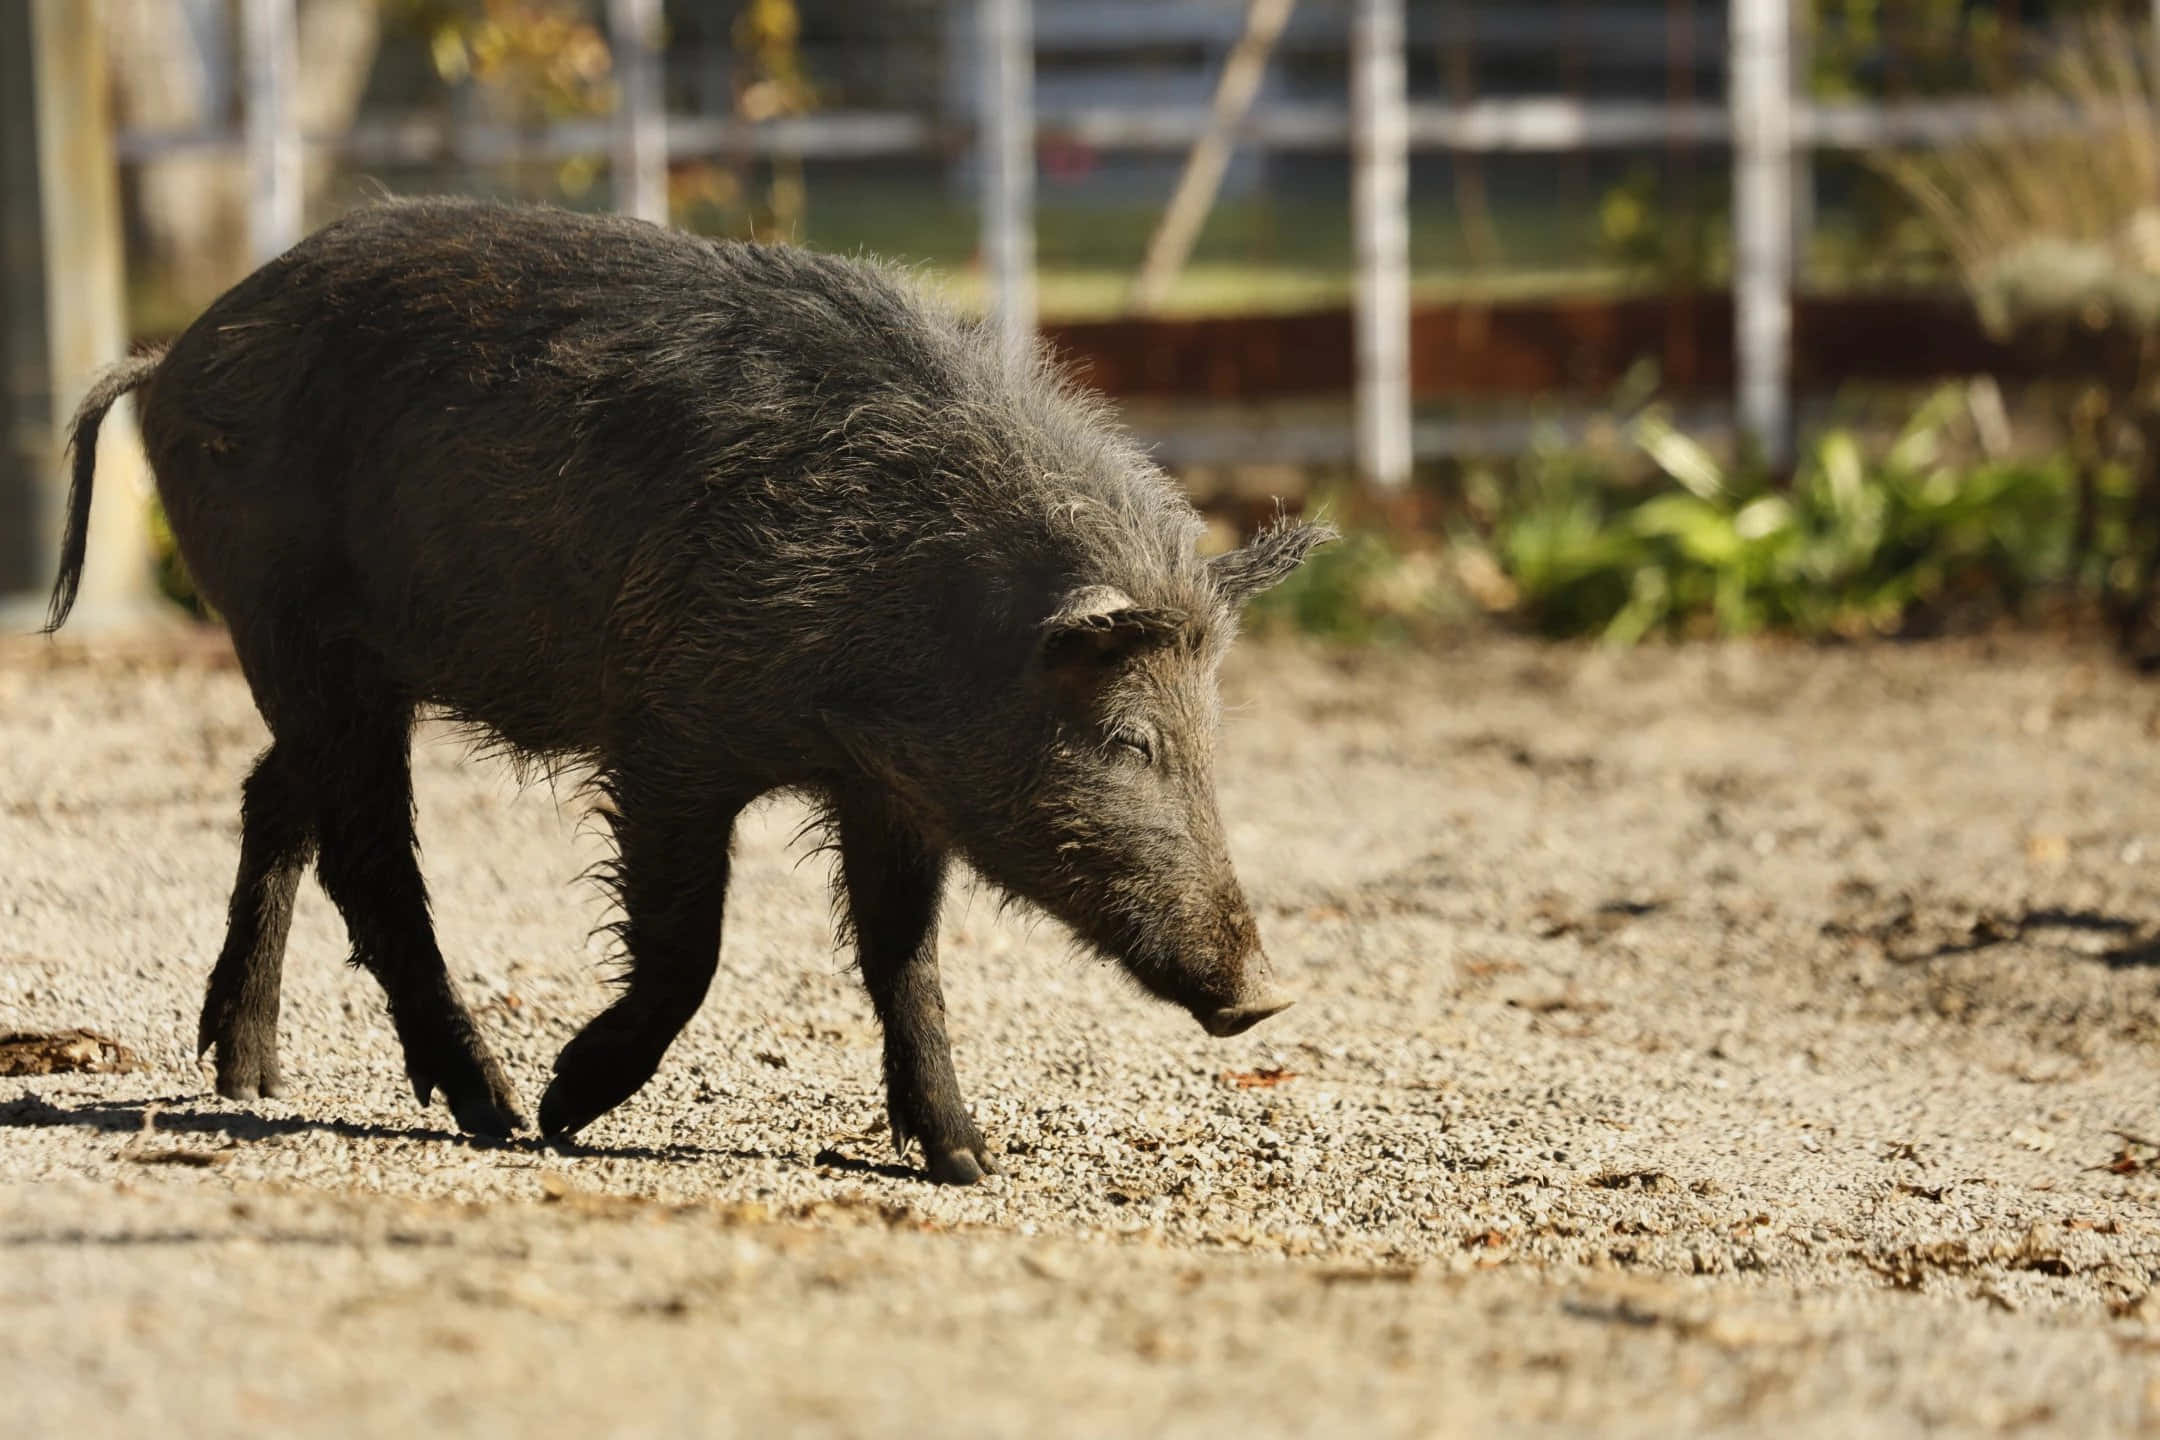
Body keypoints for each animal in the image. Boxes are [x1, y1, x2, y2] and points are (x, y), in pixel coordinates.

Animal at [44, 197, 1329, 1183]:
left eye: (1211, 740)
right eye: (1128, 741)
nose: (1265, 996)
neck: (903, 605)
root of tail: (172, 357)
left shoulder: (887, 786)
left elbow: (904, 958)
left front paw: (969, 1162)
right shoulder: (669, 734)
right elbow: (689, 945)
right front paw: (570, 1109)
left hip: (337, 671)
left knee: (275, 795)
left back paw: (250, 1077)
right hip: (296, 633)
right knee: (371, 860)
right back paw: (496, 1112)